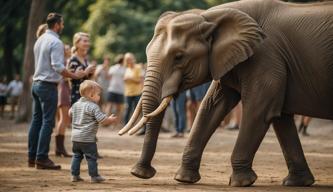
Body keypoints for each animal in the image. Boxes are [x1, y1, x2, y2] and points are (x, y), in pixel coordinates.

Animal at [118, 0, 332, 187]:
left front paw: (242, 182)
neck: (211, 16)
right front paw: (184, 179)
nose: (141, 173)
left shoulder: (266, 58)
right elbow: (213, 107)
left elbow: (258, 110)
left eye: (179, 57)